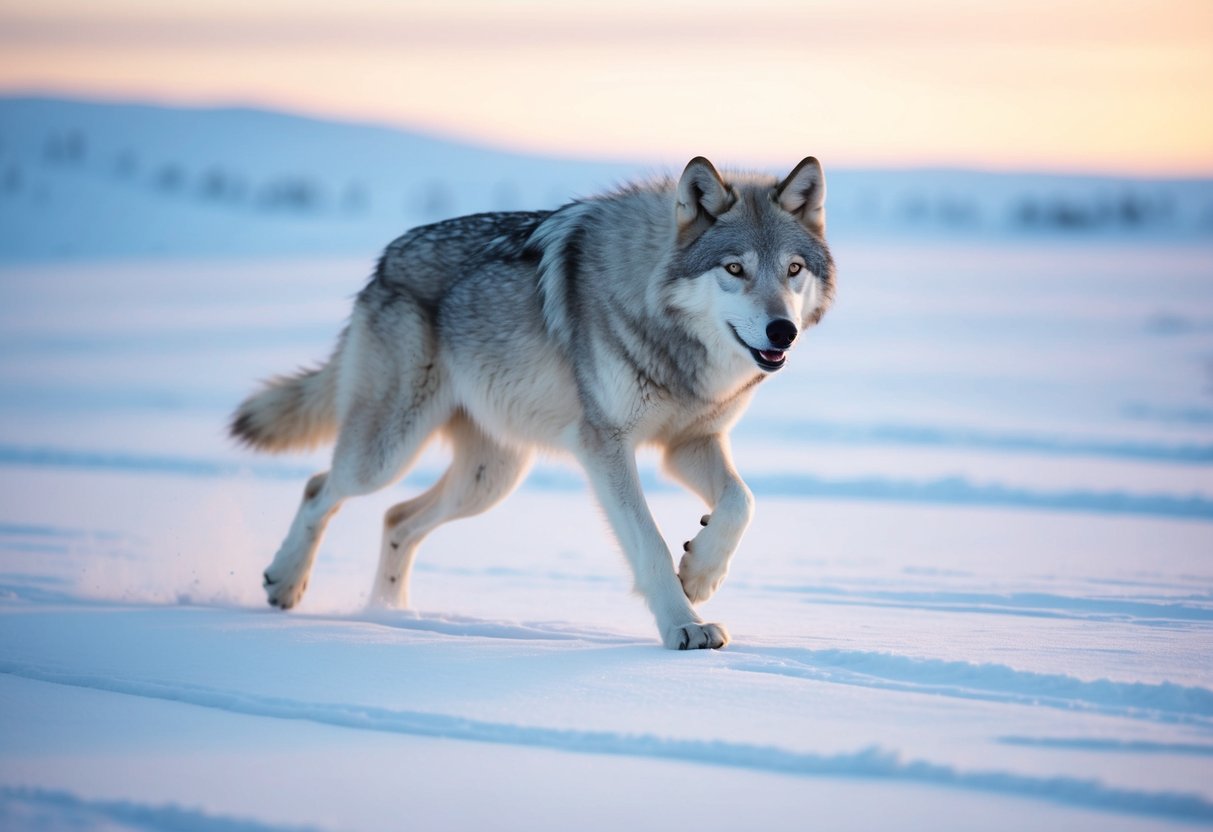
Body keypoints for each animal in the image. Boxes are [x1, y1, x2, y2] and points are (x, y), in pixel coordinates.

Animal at [230, 156, 835, 649]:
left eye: (793, 270)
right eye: (734, 269)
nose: (782, 331)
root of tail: (382, 262)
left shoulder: (688, 443)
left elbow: (741, 502)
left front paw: (702, 574)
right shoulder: (605, 446)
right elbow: (651, 543)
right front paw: (683, 624)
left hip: (489, 479)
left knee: (396, 518)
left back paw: (391, 615)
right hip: (388, 452)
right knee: (320, 488)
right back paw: (287, 582)